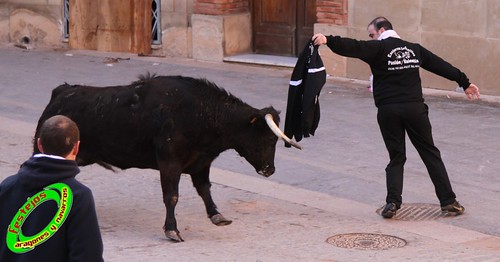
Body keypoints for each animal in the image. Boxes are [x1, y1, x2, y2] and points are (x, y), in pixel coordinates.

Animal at [35, 74, 300, 242]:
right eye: (267, 139)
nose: (269, 170)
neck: (201, 113)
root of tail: (61, 91)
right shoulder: (169, 163)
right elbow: (171, 196)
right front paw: (172, 231)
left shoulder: (201, 163)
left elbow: (205, 189)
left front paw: (217, 215)